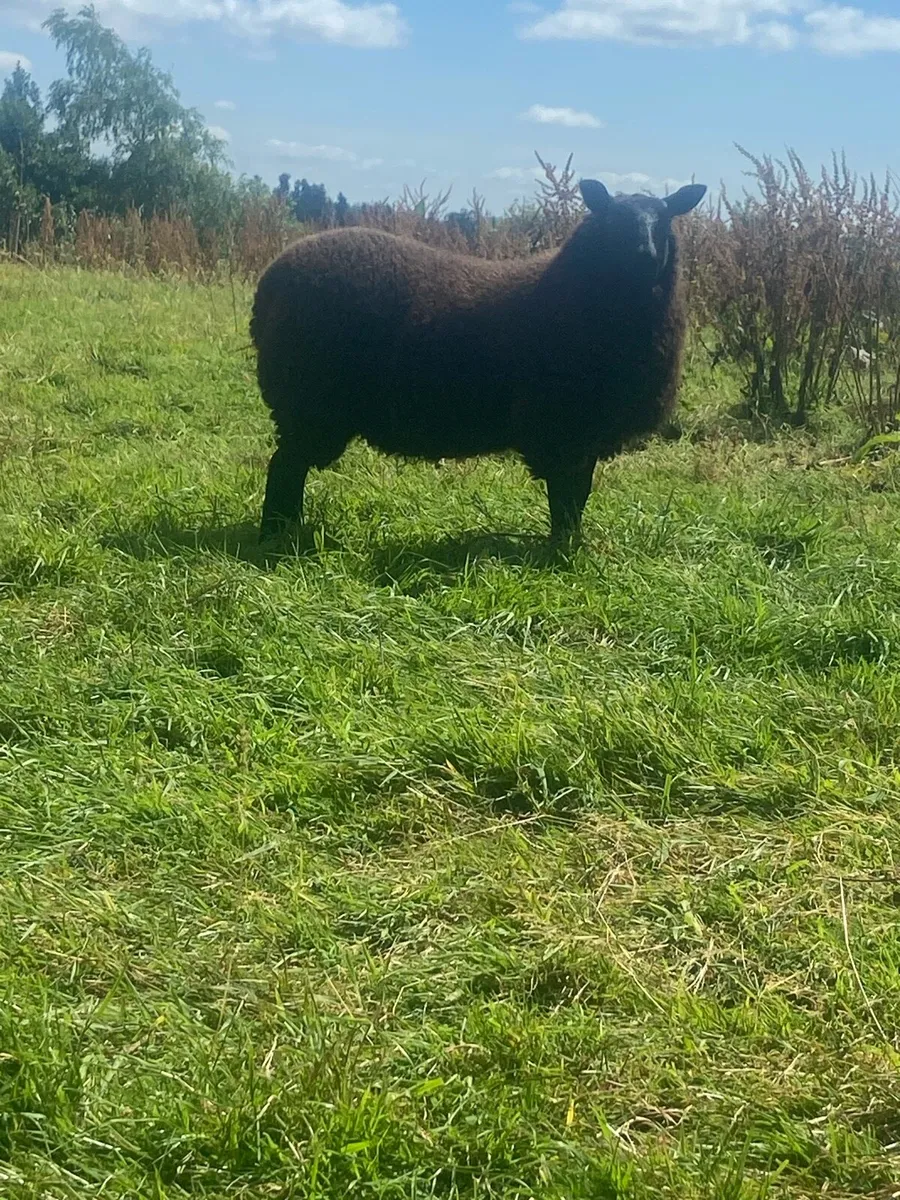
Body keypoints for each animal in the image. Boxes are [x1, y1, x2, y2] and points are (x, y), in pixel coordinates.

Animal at [250, 177, 707, 544]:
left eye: (664, 219)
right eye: (612, 219)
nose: (644, 255)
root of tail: (271, 279)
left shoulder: (584, 433)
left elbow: (579, 493)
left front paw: (572, 543)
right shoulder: (561, 427)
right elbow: (565, 495)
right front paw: (564, 550)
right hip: (309, 404)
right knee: (285, 468)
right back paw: (278, 536)